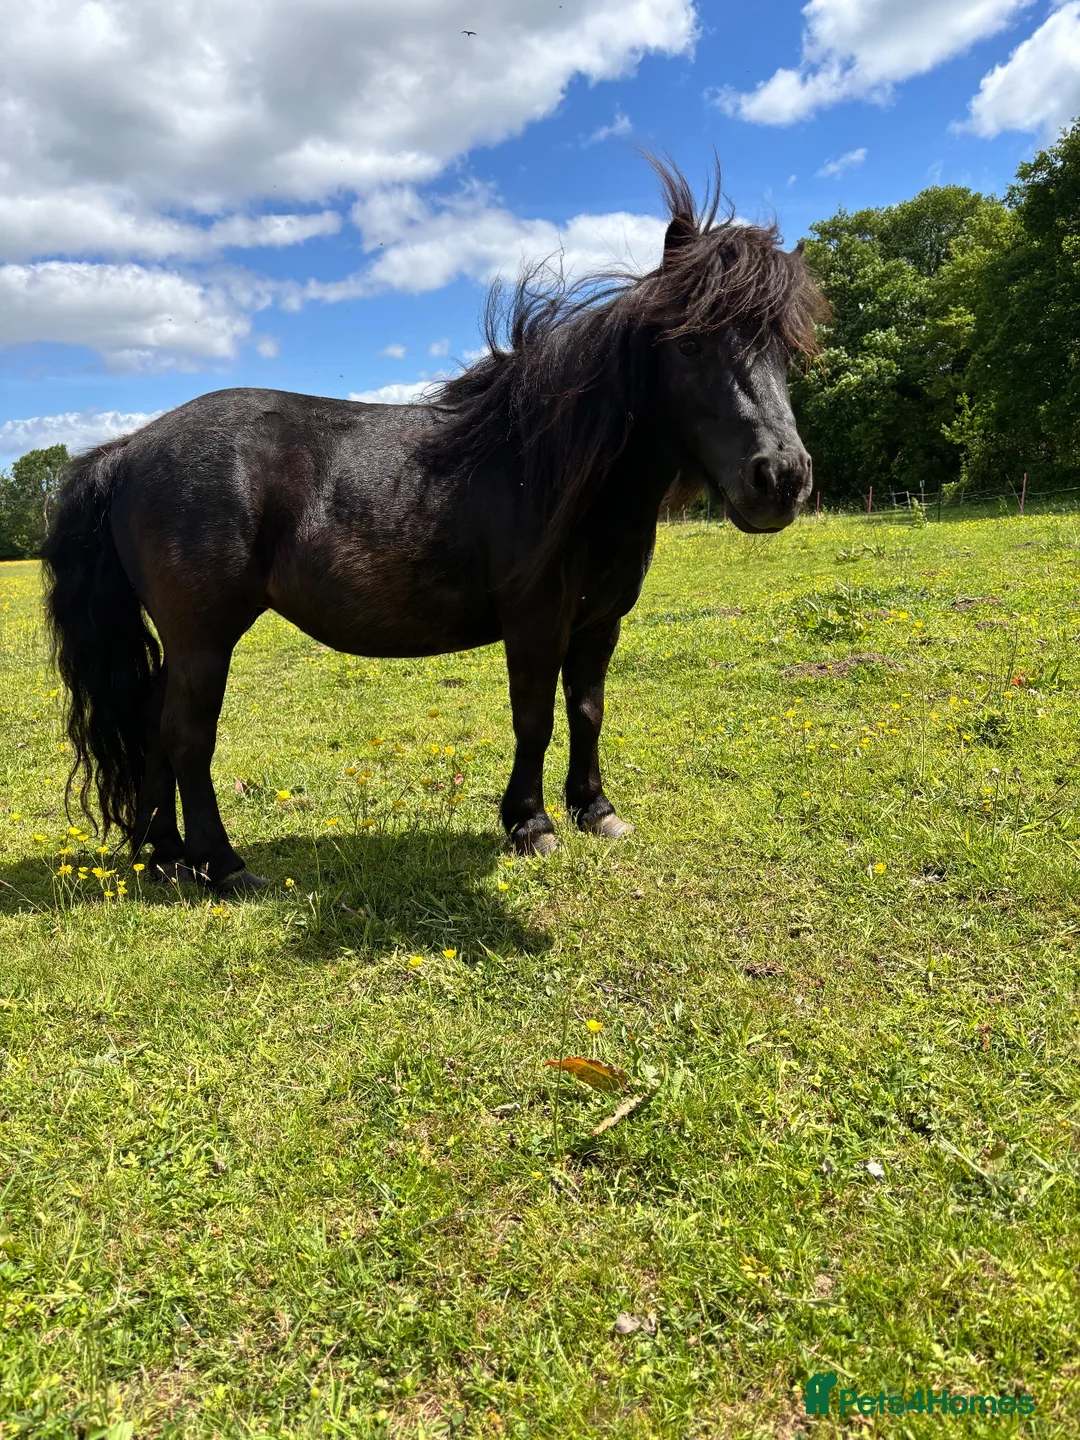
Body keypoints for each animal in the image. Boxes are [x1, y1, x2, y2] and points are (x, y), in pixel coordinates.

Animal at [42, 160, 825, 893]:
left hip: (185, 643)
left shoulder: (600, 621)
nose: (780, 478)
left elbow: (587, 710)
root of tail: (129, 448)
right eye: (690, 344)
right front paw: (531, 824)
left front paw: (596, 810)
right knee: (186, 734)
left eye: (785, 347)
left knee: (150, 724)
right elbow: (535, 716)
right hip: (205, 637)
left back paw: (167, 857)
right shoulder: (535, 620)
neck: (547, 465)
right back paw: (223, 864)